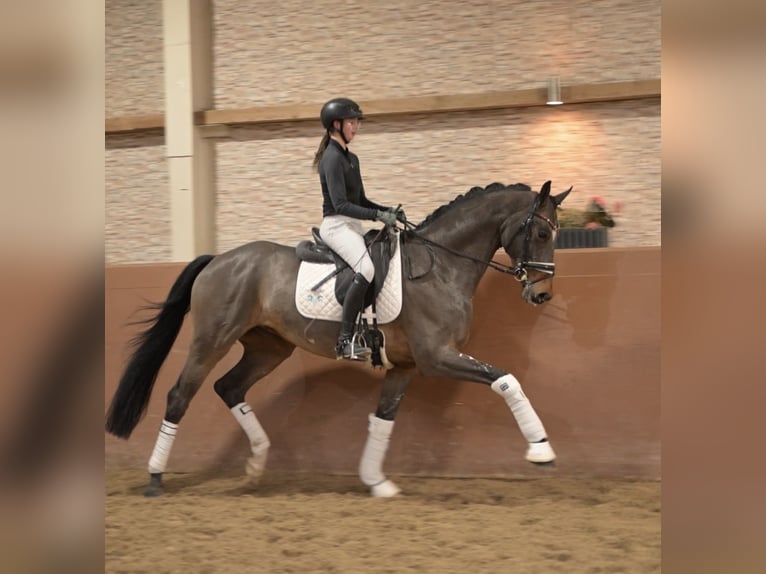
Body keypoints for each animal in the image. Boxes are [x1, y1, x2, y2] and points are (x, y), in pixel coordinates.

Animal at [106, 180, 572, 497]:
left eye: (556, 233)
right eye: (542, 233)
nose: (542, 294)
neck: (439, 265)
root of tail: (217, 259)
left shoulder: (406, 365)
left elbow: (383, 419)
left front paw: (376, 481)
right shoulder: (437, 356)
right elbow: (505, 379)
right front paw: (541, 450)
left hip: (269, 347)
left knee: (230, 387)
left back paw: (257, 462)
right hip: (212, 340)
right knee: (180, 396)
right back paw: (155, 478)